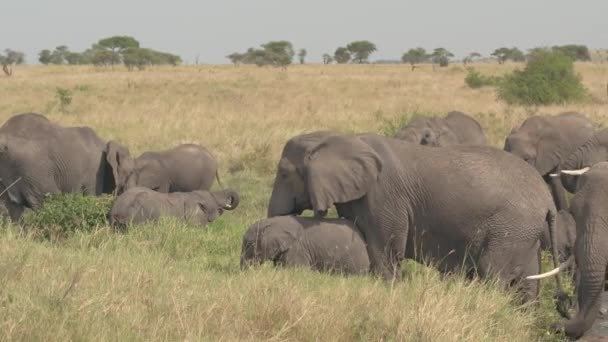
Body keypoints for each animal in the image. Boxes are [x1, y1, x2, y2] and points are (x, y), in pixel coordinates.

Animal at [270, 132, 564, 304]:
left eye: (283, 173)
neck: (334, 136)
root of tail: (546, 200)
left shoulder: (384, 196)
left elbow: (385, 251)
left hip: (511, 228)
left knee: (494, 273)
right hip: (525, 233)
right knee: (527, 281)